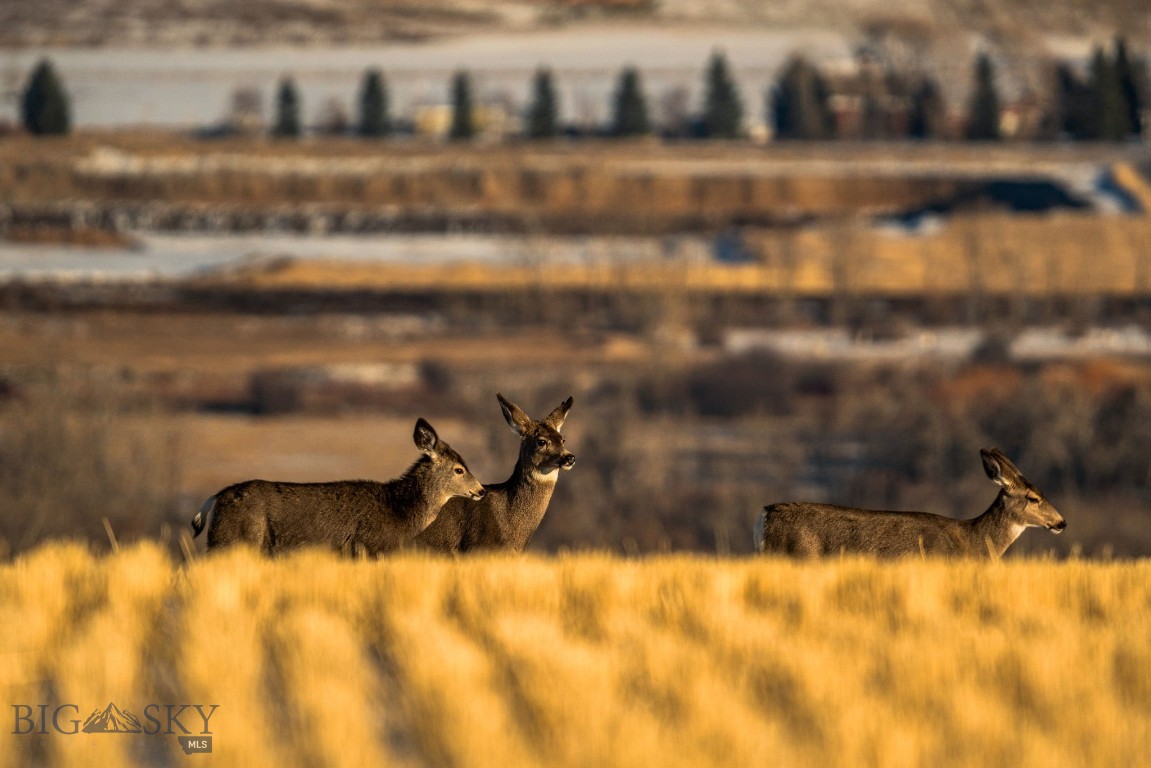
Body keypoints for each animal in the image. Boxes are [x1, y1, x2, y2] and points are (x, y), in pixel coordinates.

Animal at [192, 421, 485, 559]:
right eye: (459, 469)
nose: (480, 490)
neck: (399, 511)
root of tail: (215, 498)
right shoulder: (367, 546)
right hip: (232, 539)